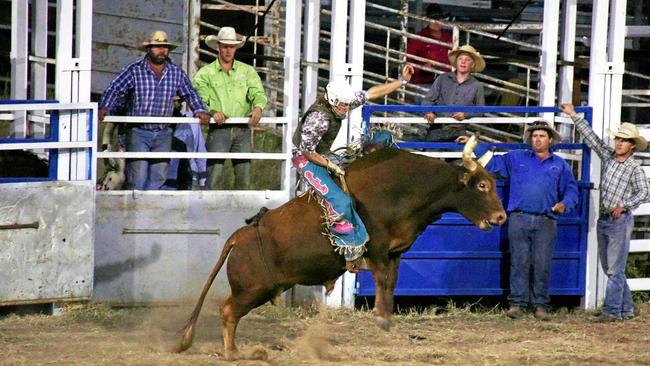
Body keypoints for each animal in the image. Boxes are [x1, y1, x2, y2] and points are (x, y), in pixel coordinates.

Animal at [177, 136, 506, 358]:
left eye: (492, 183)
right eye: (481, 186)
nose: (501, 217)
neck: (406, 188)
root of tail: (240, 234)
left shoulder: (396, 252)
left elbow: (391, 281)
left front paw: (386, 318)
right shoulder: (378, 247)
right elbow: (382, 277)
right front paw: (381, 318)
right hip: (252, 289)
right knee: (228, 311)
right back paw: (233, 353)